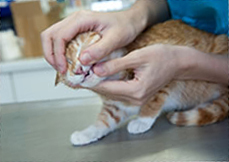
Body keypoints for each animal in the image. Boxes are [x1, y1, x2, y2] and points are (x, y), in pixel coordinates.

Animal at [54, 19, 228, 146]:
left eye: (81, 49)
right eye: (68, 62)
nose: (78, 69)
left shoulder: (166, 77)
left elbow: (154, 100)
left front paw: (142, 120)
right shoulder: (115, 107)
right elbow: (103, 121)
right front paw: (86, 133)